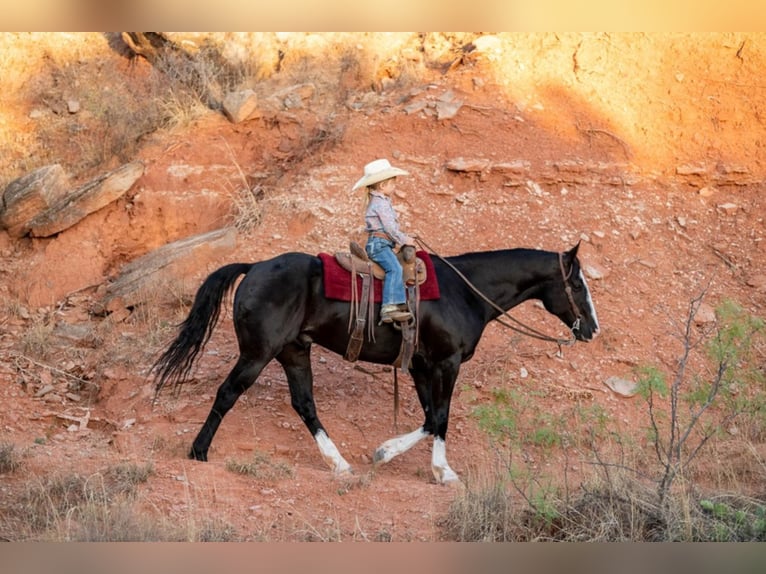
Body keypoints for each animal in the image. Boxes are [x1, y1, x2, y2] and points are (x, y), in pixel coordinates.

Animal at [154, 243, 600, 486]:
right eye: (577, 285)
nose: (592, 329)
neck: (465, 292)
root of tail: (254, 267)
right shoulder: (446, 363)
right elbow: (441, 417)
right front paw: (438, 470)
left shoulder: (420, 366)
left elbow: (429, 417)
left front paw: (386, 453)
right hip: (257, 353)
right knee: (228, 393)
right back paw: (199, 451)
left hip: (294, 352)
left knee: (304, 405)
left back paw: (338, 463)